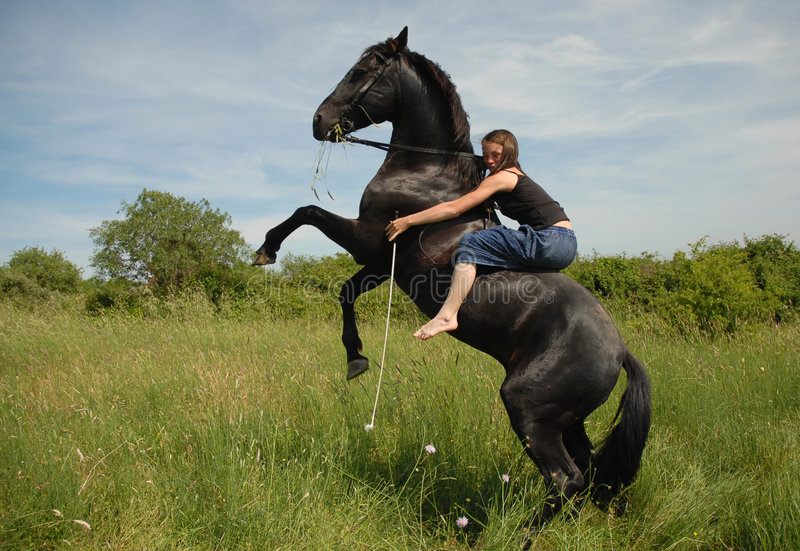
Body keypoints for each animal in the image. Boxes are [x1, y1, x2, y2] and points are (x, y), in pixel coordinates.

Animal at [255, 29, 648, 532]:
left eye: (360, 72)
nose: (318, 121)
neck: (425, 173)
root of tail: (620, 351)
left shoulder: (367, 240)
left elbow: (306, 212)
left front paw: (266, 250)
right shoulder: (383, 262)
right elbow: (345, 292)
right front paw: (356, 359)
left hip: (529, 409)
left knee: (566, 479)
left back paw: (508, 535)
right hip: (568, 419)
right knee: (587, 469)